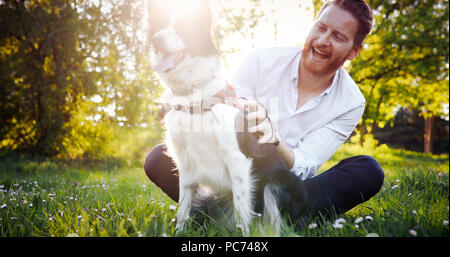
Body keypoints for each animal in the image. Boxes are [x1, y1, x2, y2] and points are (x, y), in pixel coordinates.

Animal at [148, 0, 310, 235]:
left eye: (182, 27)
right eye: (158, 26)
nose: (156, 40)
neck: (195, 97)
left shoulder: (238, 160)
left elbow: (243, 212)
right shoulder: (186, 165)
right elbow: (182, 211)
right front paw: (179, 232)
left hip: (277, 183)